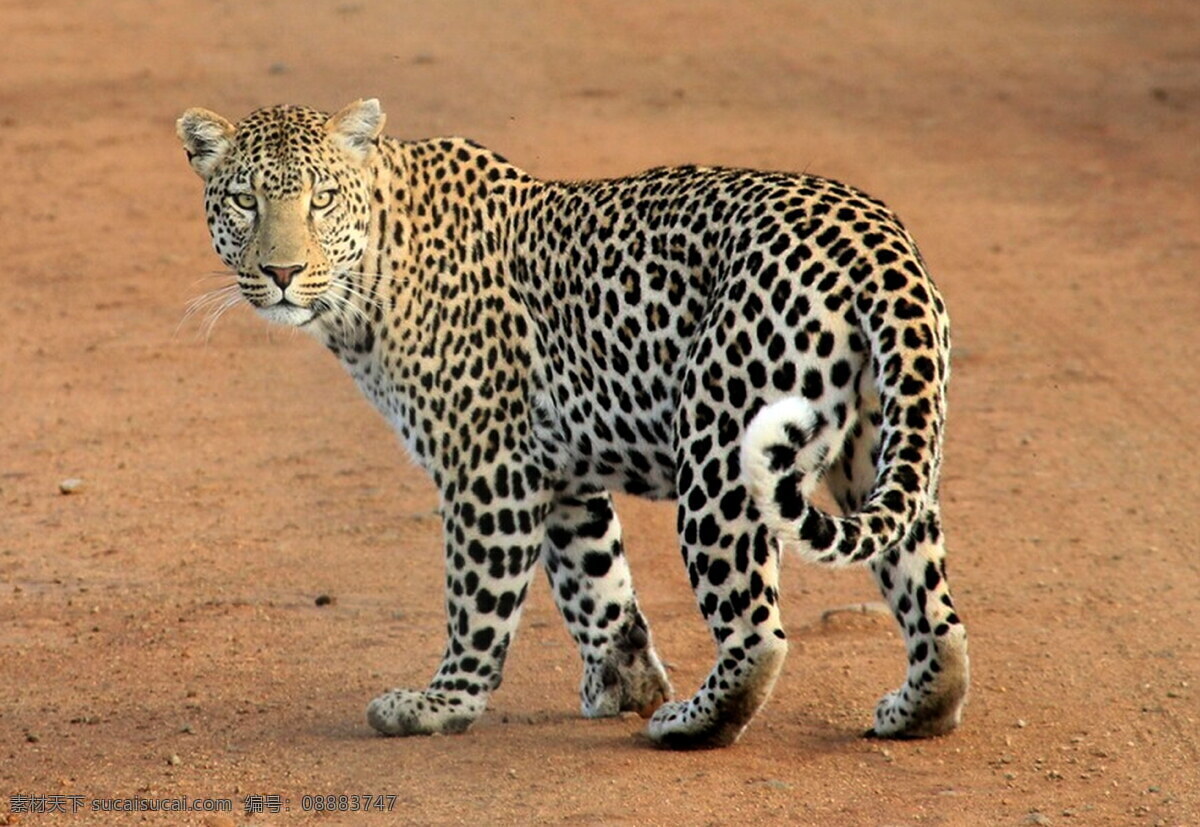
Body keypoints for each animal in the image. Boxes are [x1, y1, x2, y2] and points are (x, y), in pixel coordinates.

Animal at [175, 98, 964, 748]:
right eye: (244, 200)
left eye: (322, 200)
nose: (281, 273)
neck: (371, 276)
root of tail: (876, 241)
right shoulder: (559, 472)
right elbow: (597, 583)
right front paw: (625, 682)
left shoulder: (488, 466)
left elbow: (478, 599)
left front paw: (442, 703)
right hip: (880, 446)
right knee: (932, 605)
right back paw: (916, 709)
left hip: (720, 451)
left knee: (757, 631)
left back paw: (690, 722)